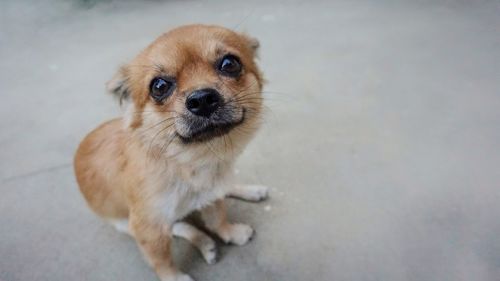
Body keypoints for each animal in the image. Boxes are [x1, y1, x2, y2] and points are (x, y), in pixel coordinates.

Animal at [73, 24, 270, 280]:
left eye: (229, 64)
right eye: (159, 87)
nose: (202, 99)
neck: (188, 163)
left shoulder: (210, 194)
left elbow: (218, 218)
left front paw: (231, 232)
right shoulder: (148, 227)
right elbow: (161, 260)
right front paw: (174, 277)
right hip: (126, 223)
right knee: (180, 226)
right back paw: (203, 241)